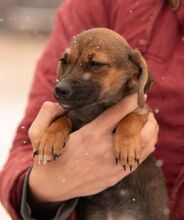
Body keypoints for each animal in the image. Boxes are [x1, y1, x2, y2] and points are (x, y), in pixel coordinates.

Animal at [32, 27, 168, 220]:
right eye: (63, 61)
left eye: (95, 63)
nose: (60, 90)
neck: (94, 109)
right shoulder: (72, 114)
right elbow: (63, 118)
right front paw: (49, 139)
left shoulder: (144, 111)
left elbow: (130, 118)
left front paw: (126, 146)